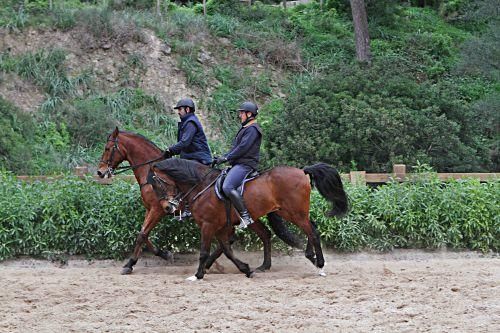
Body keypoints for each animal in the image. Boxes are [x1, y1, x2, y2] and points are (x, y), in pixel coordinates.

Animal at [97, 126, 300, 274]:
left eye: (107, 149)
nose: (100, 172)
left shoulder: (157, 209)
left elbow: (142, 235)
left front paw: (131, 263)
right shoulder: (152, 209)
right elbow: (143, 235)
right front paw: (164, 254)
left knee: (236, 238)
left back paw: (216, 265)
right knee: (262, 234)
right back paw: (256, 265)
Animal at [152, 157, 348, 278]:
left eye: (157, 184)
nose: (167, 207)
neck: (202, 186)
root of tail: (302, 171)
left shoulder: (208, 225)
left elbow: (205, 251)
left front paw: (198, 274)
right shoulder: (220, 227)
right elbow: (226, 250)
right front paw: (245, 269)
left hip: (294, 212)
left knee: (312, 231)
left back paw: (320, 264)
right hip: (289, 212)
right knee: (305, 228)